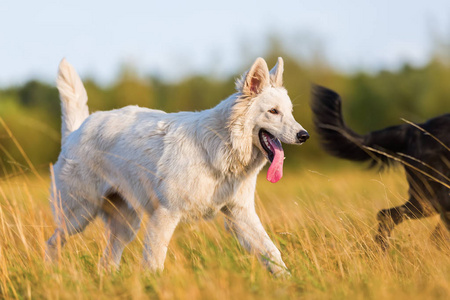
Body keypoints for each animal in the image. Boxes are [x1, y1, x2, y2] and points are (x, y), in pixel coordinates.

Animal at [47, 56, 312, 276]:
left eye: (289, 112)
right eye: (273, 111)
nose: (304, 136)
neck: (221, 145)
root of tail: (77, 130)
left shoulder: (240, 215)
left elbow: (272, 252)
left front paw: (289, 283)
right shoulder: (166, 214)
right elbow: (155, 262)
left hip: (125, 226)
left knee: (106, 262)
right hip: (78, 215)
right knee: (53, 242)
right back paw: (53, 273)